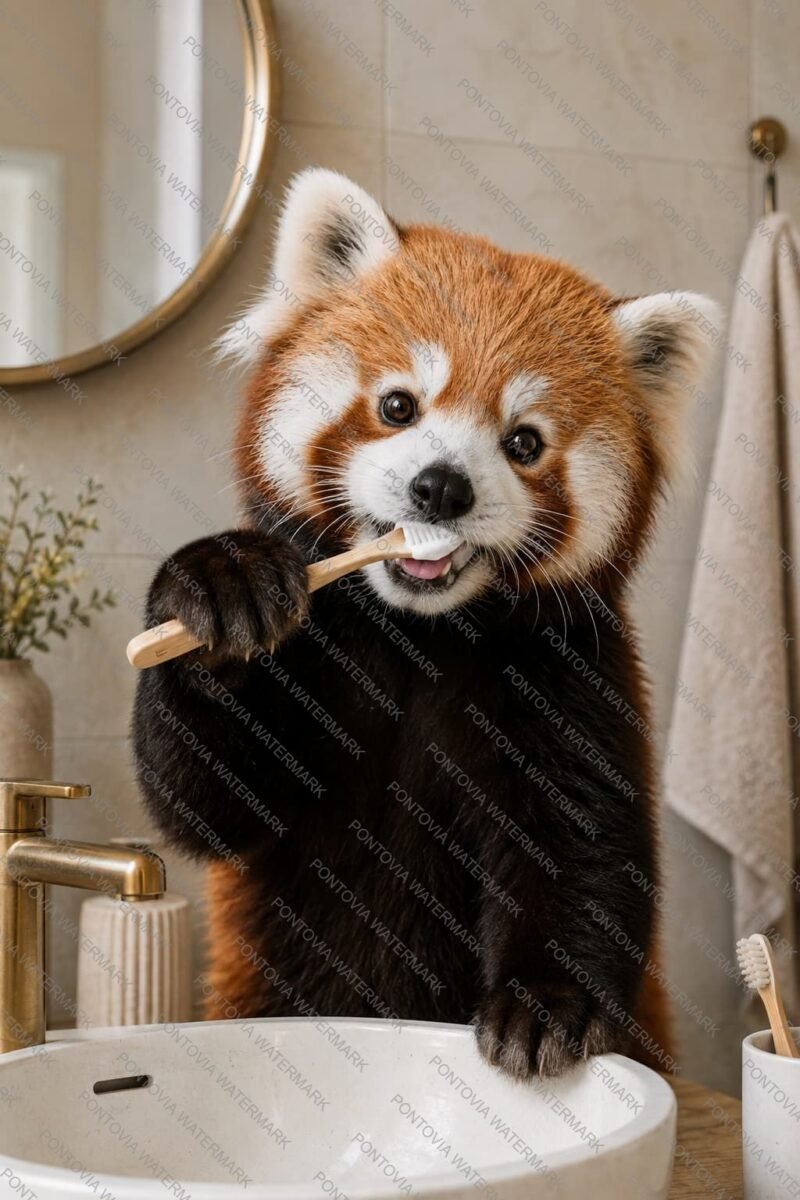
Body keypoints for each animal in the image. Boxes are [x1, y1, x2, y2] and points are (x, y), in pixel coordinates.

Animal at [133, 168, 720, 1079]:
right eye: (399, 405)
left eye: (524, 442)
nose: (442, 487)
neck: (417, 633)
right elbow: (211, 802)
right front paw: (218, 596)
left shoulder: (571, 673)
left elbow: (582, 849)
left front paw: (545, 1008)